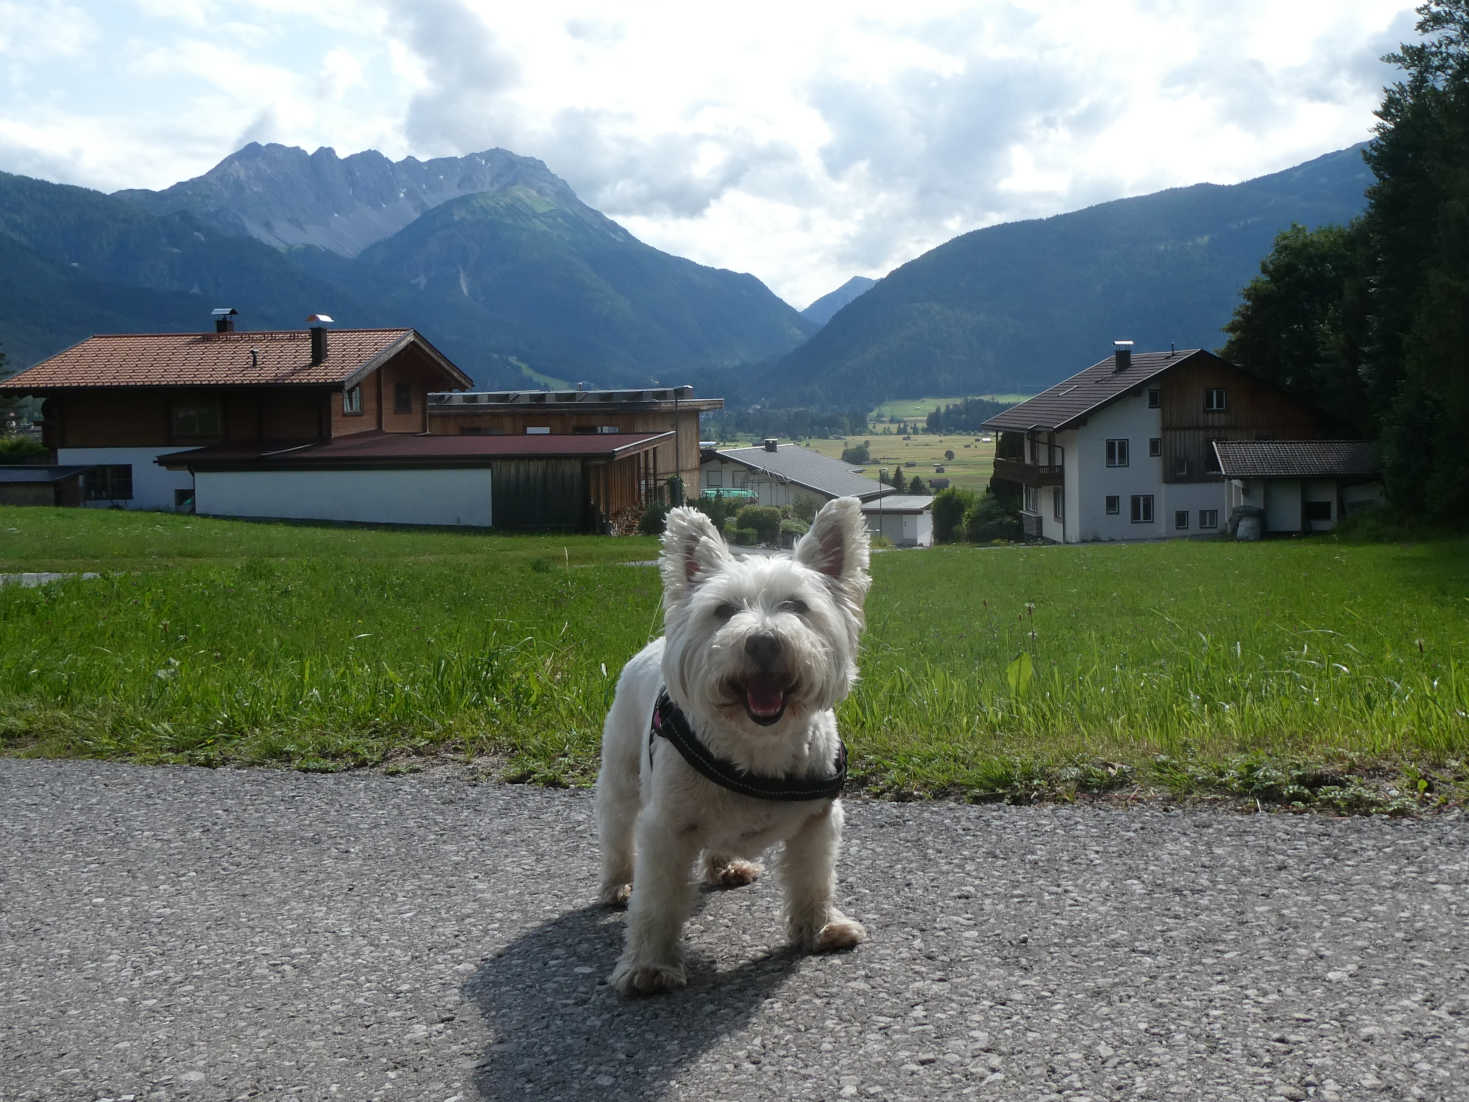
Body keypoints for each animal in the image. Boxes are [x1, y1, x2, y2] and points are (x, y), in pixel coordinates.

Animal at [596, 496, 869, 999]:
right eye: (723, 610)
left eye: (797, 605)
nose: (763, 643)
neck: (757, 746)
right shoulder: (666, 828)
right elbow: (657, 900)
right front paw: (649, 967)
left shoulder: (818, 822)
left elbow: (813, 878)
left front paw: (822, 929)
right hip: (621, 771)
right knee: (617, 831)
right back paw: (617, 884)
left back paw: (727, 865)